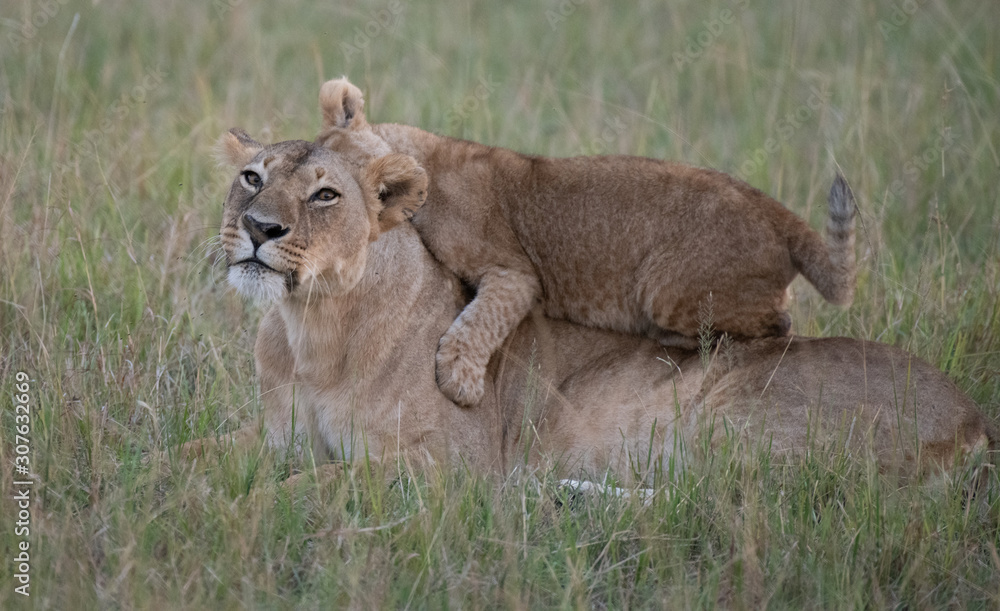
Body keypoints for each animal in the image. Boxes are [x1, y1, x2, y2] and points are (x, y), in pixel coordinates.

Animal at [184, 130, 995, 487]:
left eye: (325, 194)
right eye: (251, 175)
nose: (259, 228)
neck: (314, 332)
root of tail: (973, 417)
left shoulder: (447, 466)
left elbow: (320, 481)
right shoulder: (277, 433)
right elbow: (195, 454)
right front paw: (162, 486)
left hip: (727, 414)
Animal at [313, 77, 858, 407]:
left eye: (328, 192)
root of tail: (777, 214)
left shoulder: (515, 273)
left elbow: (478, 323)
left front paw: (459, 380)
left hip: (664, 288)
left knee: (777, 324)